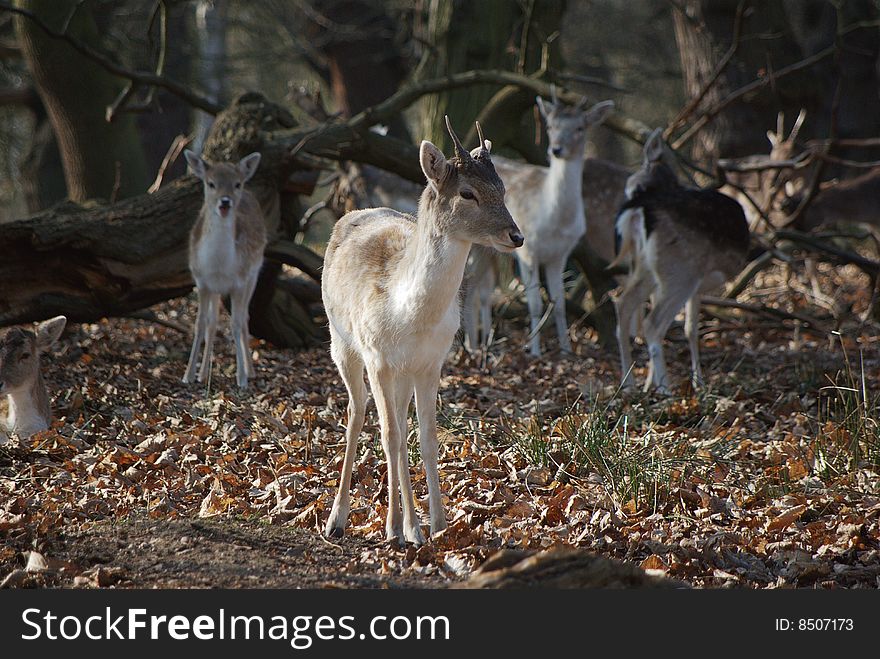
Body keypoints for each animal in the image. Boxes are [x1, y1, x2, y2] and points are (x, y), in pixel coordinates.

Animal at [183, 150, 266, 392]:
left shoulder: (240, 281)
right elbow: (200, 323)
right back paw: (203, 374)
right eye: (211, 183)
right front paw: (188, 375)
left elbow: (236, 324)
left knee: (245, 317)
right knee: (212, 324)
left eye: (236, 184)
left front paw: (242, 379)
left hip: (254, 275)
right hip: (216, 291)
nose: (225, 201)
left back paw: (251, 370)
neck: (219, 265)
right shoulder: (201, 282)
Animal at [322, 118, 524, 548]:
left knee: (398, 423)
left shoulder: (432, 363)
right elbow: (389, 436)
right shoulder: (378, 358)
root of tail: (353, 212)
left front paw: (436, 525)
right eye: (467, 192)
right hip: (340, 342)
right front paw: (397, 527)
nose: (516, 236)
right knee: (357, 414)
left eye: (502, 188)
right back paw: (339, 519)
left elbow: (427, 439)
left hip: (402, 372)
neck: (409, 316)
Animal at [470, 93, 616, 356]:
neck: (554, 222)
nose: (556, 149)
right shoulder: (528, 251)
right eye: (550, 126)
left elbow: (559, 303)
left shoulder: (560, 255)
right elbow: (535, 304)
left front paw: (567, 350)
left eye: (580, 127)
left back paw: (482, 343)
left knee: (478, 291)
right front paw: (534, 350)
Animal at [612, 131, 748, 394]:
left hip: (647, 268)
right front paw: (698, 382)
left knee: (623, 305)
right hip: (681, 269)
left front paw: (649, 383)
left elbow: (688, 328)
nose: (631, 193)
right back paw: (666, 389)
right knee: (652, 323)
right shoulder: (695, 285)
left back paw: (629, 384)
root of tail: (642, 209)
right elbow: (691, 329)